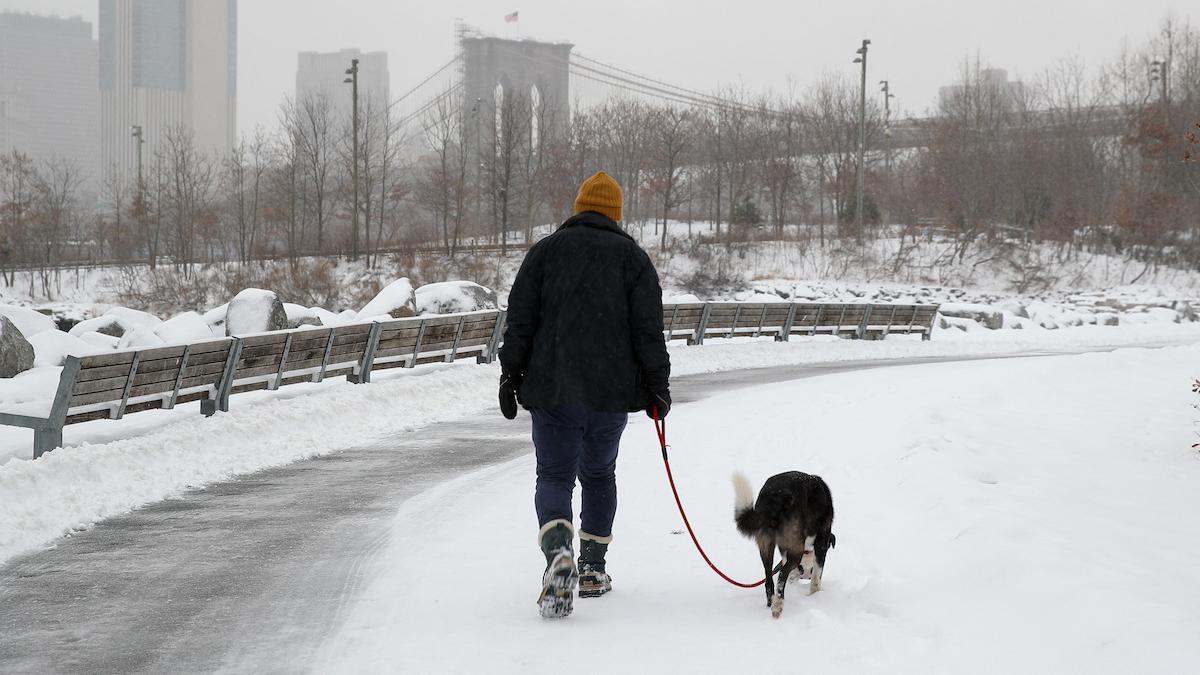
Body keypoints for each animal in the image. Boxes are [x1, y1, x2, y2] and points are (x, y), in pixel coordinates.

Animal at [729, 468, 835, 614]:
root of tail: (775, 497)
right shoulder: (821, 543)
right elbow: (816, 579)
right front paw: (816, 596)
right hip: (795, 547)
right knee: (781, 575)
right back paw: (778, 605)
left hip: (766, 545)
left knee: (769, 581)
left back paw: (772, 604)